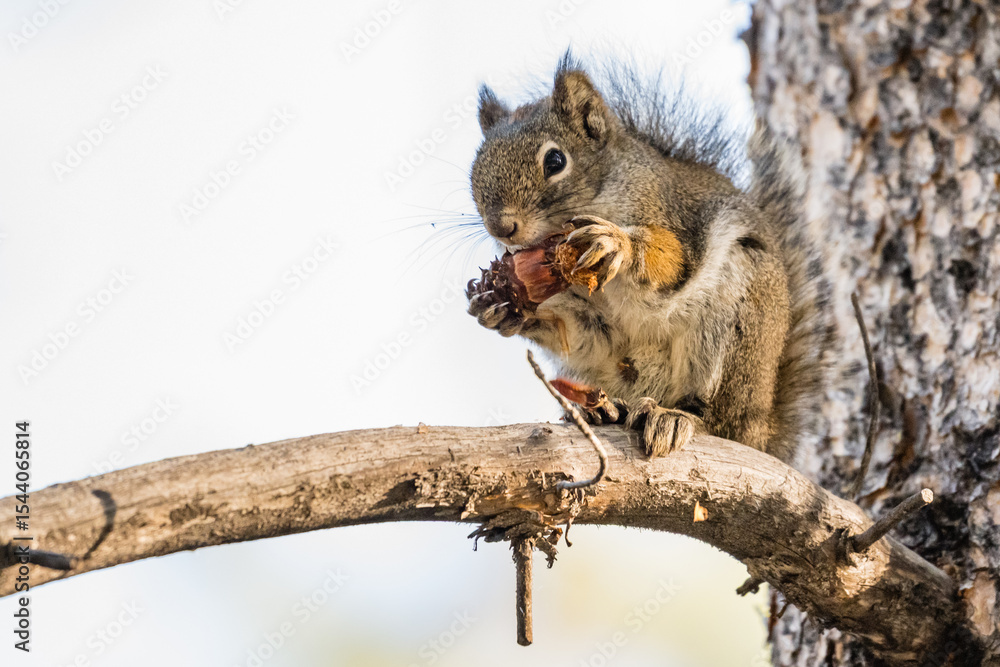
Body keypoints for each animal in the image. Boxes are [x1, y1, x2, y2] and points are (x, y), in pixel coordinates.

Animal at [465, 55, 833, 463]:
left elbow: (669, 260)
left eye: (555, 160)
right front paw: (499, 307)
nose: (502, 227)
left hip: (739, 315)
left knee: (721, 421)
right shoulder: (589, 319)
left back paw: (676, 417)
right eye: (476, 166)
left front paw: (616, 243)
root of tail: (763, 431)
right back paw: (604, 411)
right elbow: (579, 334)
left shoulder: (666, 215)